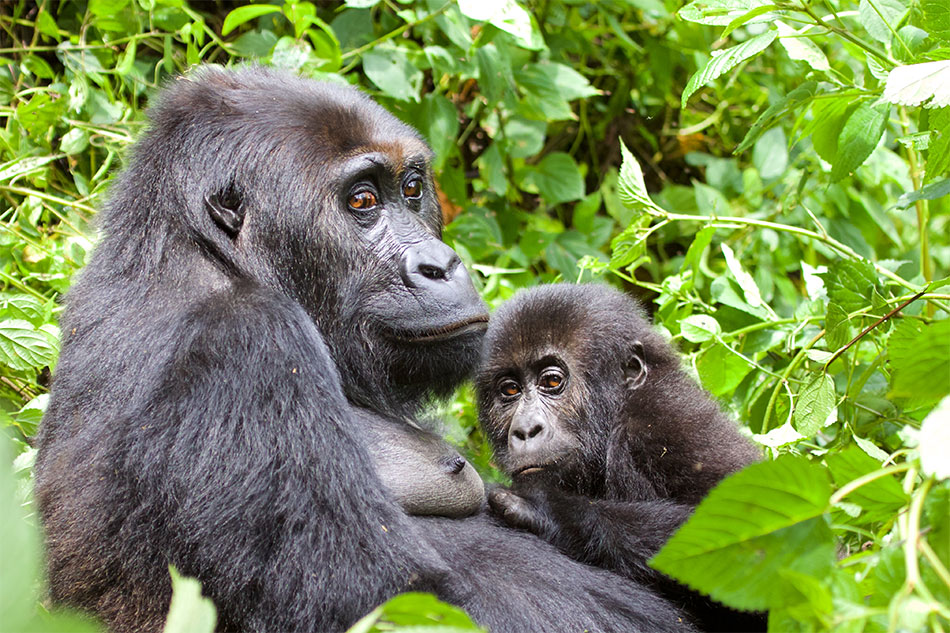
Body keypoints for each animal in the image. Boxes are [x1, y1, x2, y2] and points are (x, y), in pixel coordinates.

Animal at [37, 65, 692, 632]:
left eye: (411, 189)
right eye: (361, 202)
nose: (441, 264)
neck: (193, 252)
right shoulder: (243, 342)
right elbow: (398, 602)